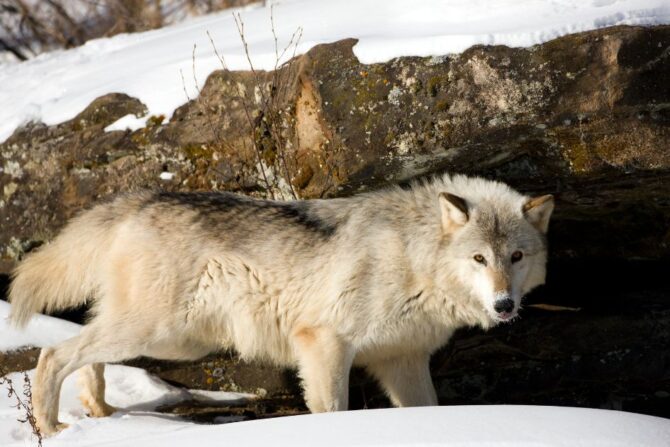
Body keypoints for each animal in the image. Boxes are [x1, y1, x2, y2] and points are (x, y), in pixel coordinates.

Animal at [8, 174, 553, 435]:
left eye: (516, 256)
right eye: (479, 258)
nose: (504, 305)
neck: (414, 258)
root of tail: (138, 199)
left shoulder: (403, 360)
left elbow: (428, 410)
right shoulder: (323, 344)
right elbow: (332, 411)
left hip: (170, 340)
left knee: (85, 351)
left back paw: (101, 413)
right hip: (158, 334)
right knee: (53, 354)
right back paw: (52, 428)